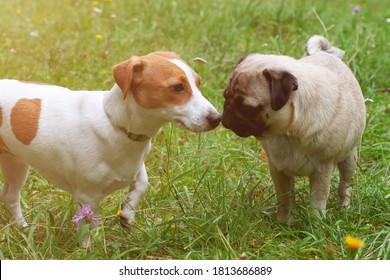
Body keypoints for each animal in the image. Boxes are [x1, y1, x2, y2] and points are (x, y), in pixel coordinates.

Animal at [0, 52, 219, 234]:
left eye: (198, 83)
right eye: (177, 87)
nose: (217, 118)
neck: (116, 123)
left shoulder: (135, 167)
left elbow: (142, 183)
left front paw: (127, 213)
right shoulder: (87, 197)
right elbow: (89, 230)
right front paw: (91, 249)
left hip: (16, 163)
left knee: (10, 197)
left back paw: (23, 228)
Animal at [222, 35, 366, 221]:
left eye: (246, 108)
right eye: (225, 96)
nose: (227, 112)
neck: (289, 132)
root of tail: (325, 53)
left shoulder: (322, 172)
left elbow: (317, 203)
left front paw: (316, 225)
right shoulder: (278, 169)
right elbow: (284, 199)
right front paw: (284, 223)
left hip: (349, 160)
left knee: (345, 186)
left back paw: (345, 207)